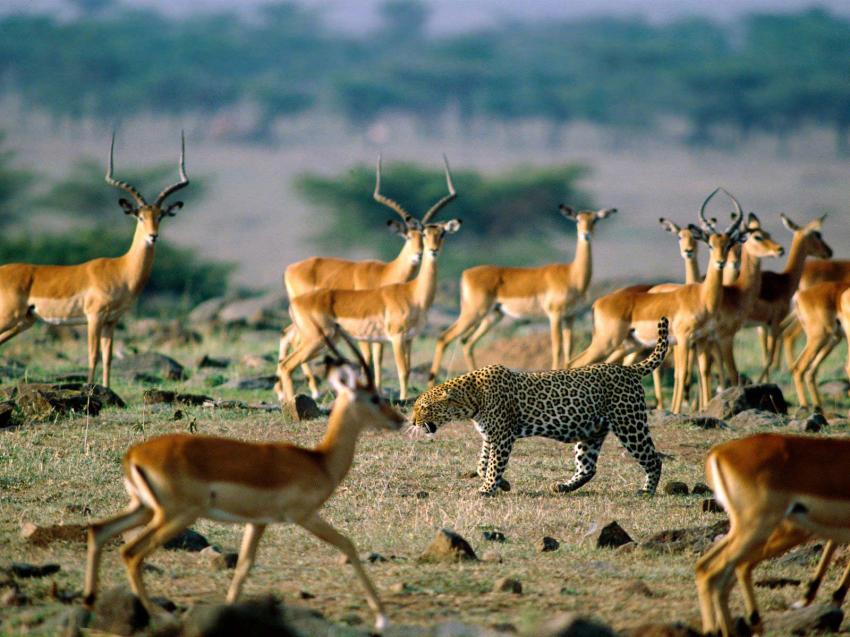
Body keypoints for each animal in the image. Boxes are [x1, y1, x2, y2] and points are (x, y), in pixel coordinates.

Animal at [411, 317, 668, 496]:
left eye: (424, 408)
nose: (412, 421)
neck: (471, 399)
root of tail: (629, 369)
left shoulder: (503, 436)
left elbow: (493, 464)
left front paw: (487, 489)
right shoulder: (490, 436)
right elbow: (483, 464)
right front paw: (502, 484)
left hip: (629, 424)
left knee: (653, 459)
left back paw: (646, 491)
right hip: (591, 431)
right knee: (588, 467)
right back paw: (562, 487)